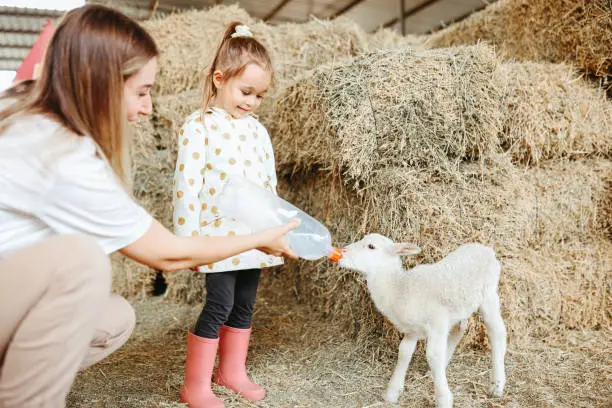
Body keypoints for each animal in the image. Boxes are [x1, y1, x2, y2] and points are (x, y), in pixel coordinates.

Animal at [338, 233, 504, 408]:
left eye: (371, 246)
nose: (342, 252)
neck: (399, 288)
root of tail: (486, 249)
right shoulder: (412, 330)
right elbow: (404, 353)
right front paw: (392, 391)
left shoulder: (437, 322)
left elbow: (433, 356)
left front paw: (443, 398)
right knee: (460, 327)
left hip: (489, 294)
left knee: (497, 332)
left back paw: (497, 385)